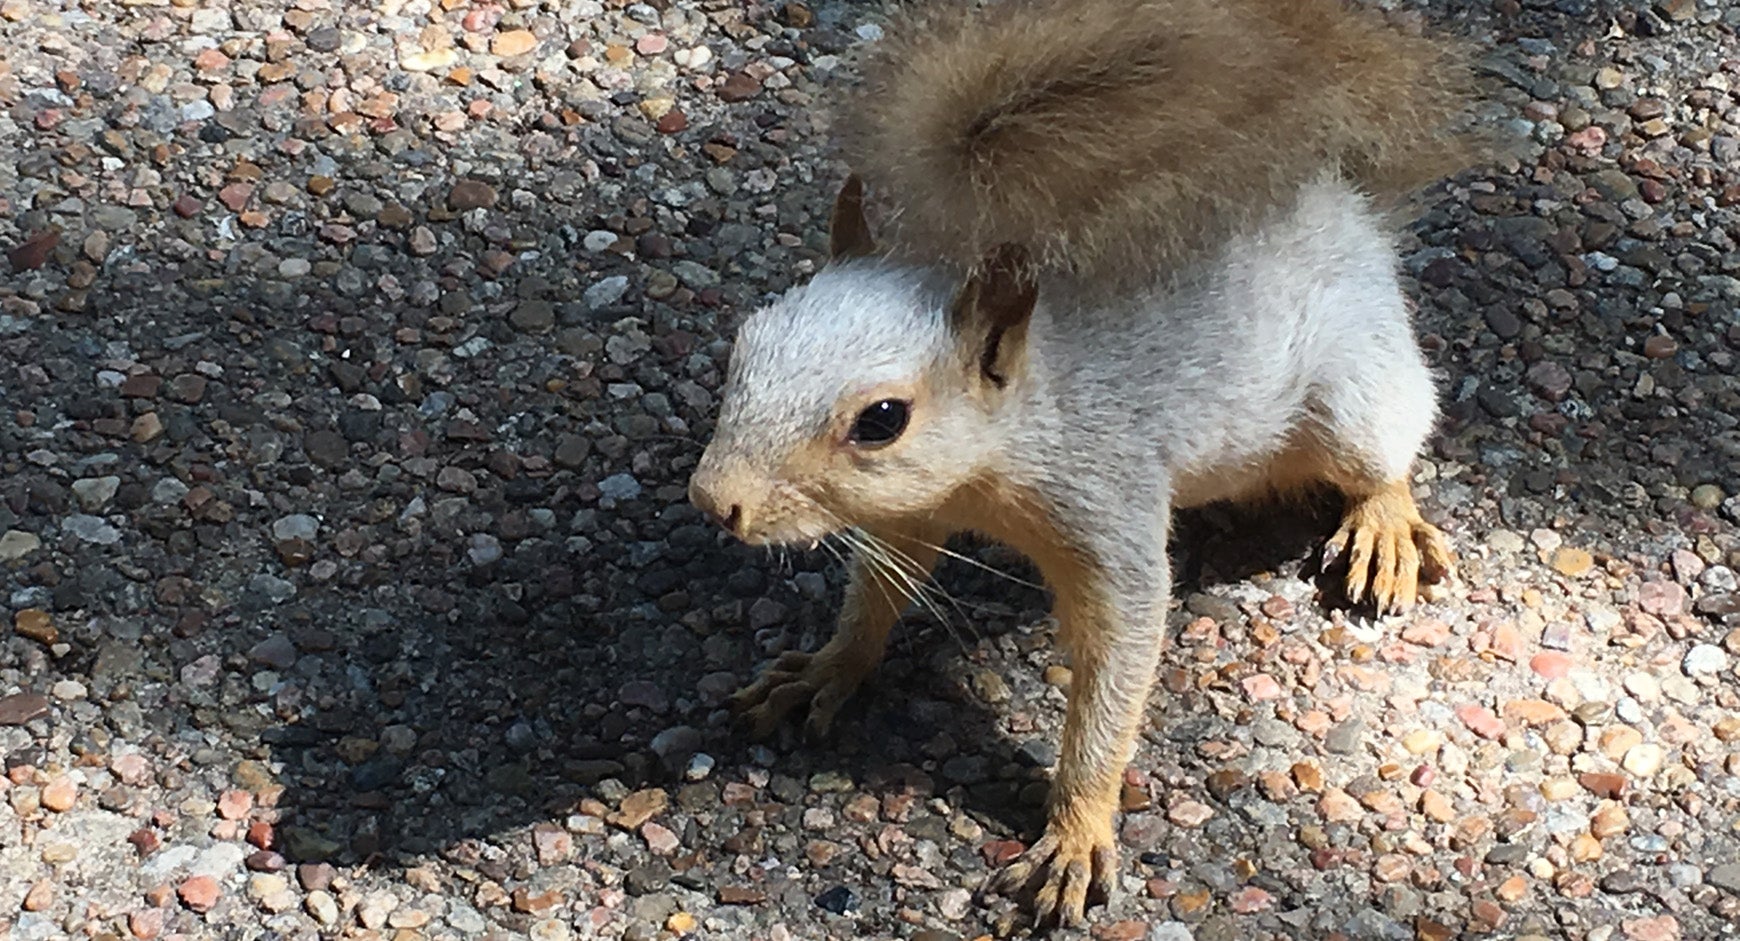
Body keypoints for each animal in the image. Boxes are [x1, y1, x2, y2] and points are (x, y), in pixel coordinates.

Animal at [692, 0, 1482, 925]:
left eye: (882, 419)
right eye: (745, 341)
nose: (713, 500)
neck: (1004, 448)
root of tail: (1346, 206)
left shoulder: (1107, 500)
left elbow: (1117, 662)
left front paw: (1074, 833)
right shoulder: (910, 513)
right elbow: (879, 594)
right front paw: (826, 667)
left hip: (1355, 396)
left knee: (1387, 453)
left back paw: (1384, 529)